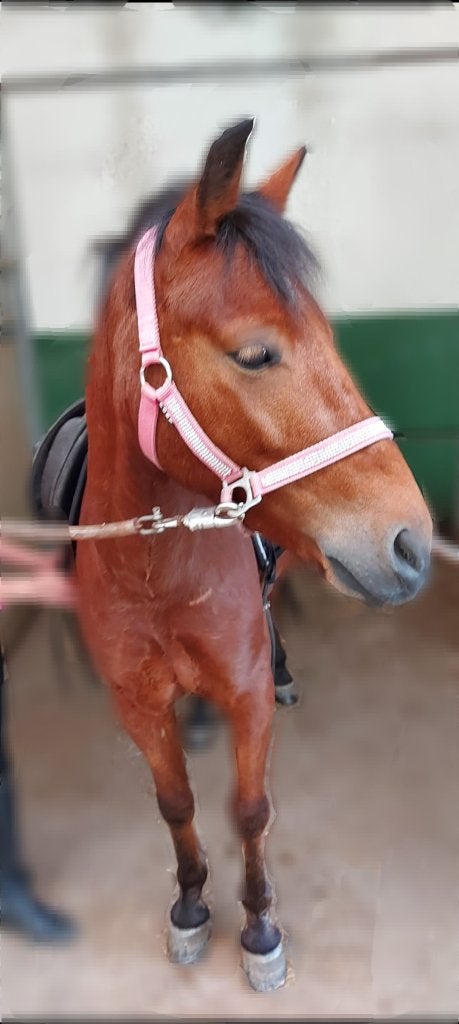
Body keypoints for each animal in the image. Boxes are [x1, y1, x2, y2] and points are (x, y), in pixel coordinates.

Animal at [76, 118, 432, 991]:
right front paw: (189, 906)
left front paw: (260, 927)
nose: (410, 541)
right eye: (255, 354)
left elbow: (249, 810)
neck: (155, 570)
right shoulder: (137, 704)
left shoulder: (244, 696)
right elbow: (176, 805)